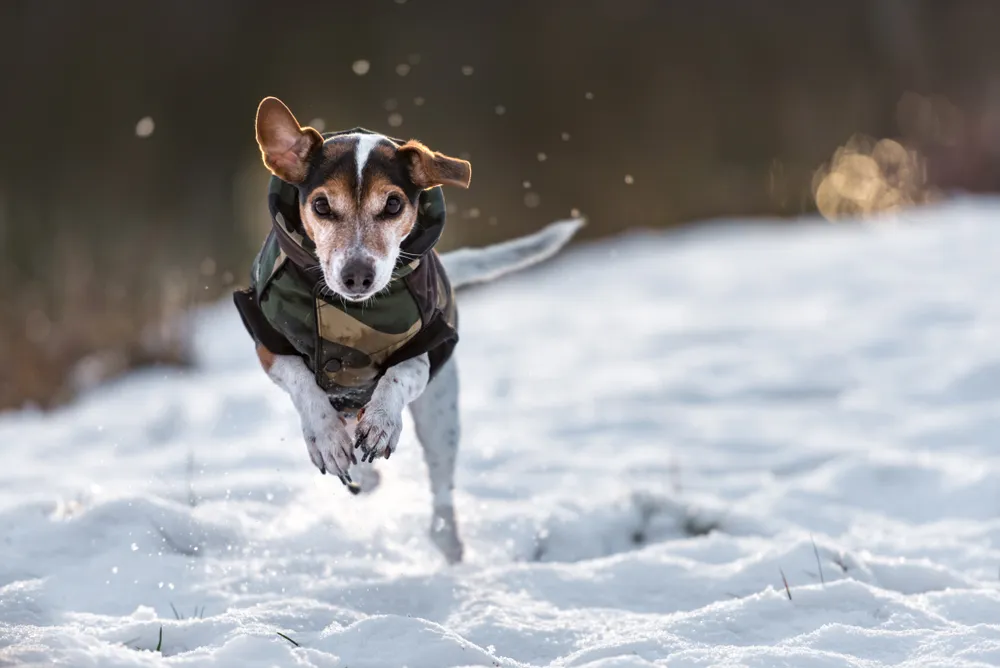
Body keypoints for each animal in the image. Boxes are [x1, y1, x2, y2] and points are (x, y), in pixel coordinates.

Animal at [235, 96, 580, 560]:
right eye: (322, 206)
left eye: (393, 205)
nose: (357, 276)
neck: (350, 312)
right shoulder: (269, 346)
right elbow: (304, 384)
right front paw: (326, 436)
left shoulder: (428, 347)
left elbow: (398, 375)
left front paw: (382, 421)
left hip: (440, 414)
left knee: (440, 490)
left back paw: (447, 542)